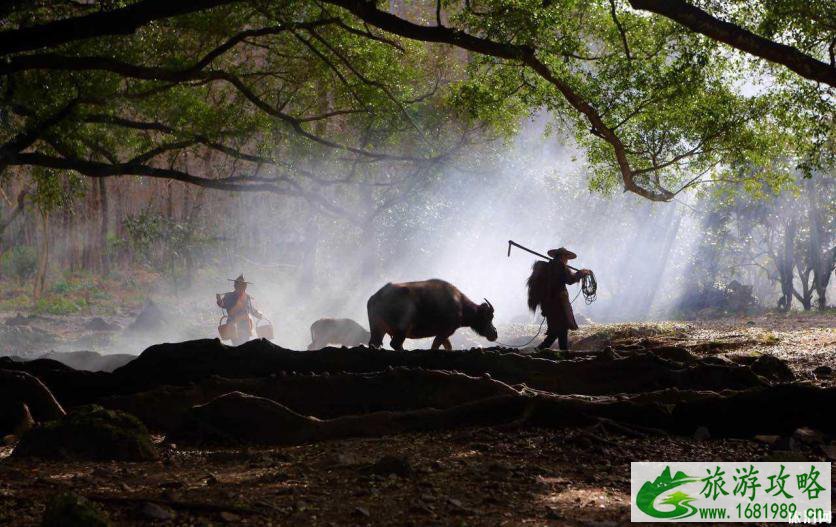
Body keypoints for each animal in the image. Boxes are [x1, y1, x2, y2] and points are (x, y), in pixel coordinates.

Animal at [366, 278, 496, 352]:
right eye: (489, 317)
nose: (494, 333)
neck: (460, 304)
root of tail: (375, 297)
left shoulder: (443, 333)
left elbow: (448, 347)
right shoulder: (445, 331)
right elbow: (435, 347)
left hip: (378, 328)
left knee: (374, 344)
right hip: (402, 328)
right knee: (395, 344)